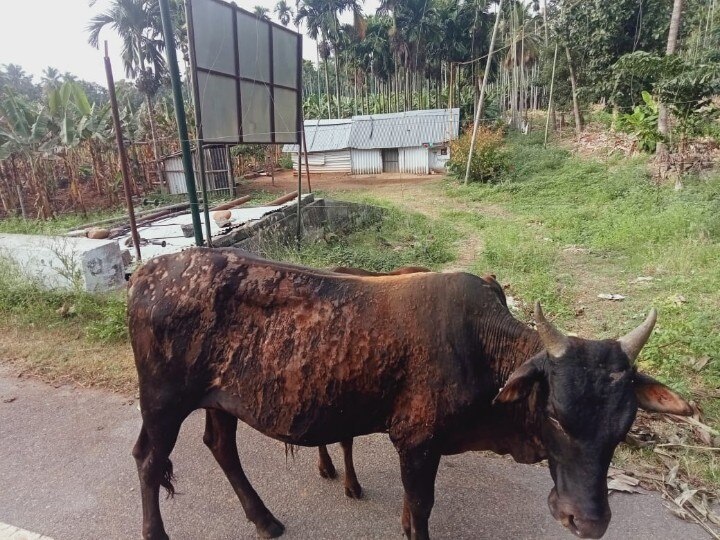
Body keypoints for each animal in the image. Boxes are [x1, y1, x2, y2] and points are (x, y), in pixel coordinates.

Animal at [128, 250, 692, 540]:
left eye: (624, 426)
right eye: (553, 413)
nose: (589, 521)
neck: (482, 347)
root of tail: (150, 270)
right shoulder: (418, 442)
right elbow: (420, 508)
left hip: (218, 400)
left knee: (219, 447)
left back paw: (264, 519)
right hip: (163, 401)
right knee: (150, 462)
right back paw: (158, 533)